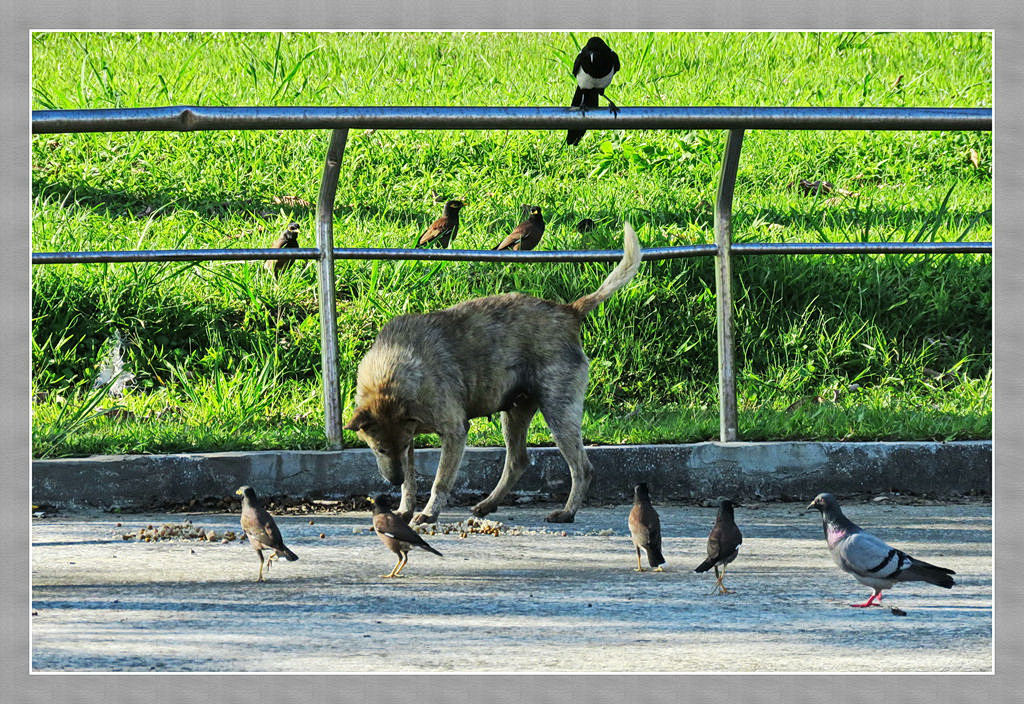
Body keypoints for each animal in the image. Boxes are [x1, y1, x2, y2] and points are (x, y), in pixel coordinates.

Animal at [348, 224, 643, 521]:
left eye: (392, 447)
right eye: (380, 449)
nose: (392, 480)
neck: (392, 374)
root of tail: (569, 311)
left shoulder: (454, 432)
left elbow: (440, 481)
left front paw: (429, 513)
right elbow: (410, 482)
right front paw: (404, 509)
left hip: (559, 412)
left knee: (582, 468)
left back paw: (567, 512)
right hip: (515, 413)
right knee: (518, 460)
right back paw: (489, 503)